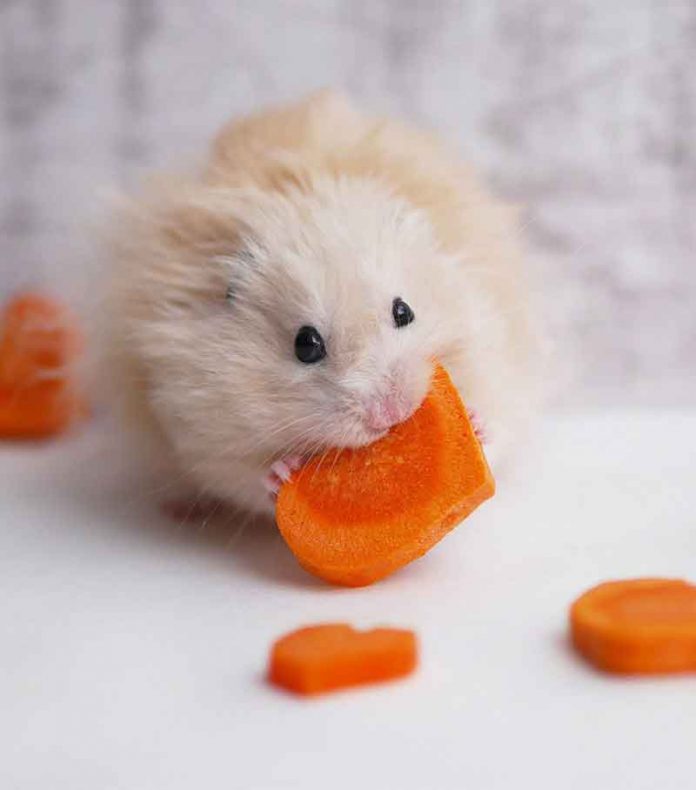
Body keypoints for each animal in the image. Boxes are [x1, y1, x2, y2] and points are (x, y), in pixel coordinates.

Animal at [101, 90, 541, 517]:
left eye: (404, 311)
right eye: (306, 345)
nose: (390, 414)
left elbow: (496, 419)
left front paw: (475, 424)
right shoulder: (202, 426)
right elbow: (246, 476)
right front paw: (281, 472)